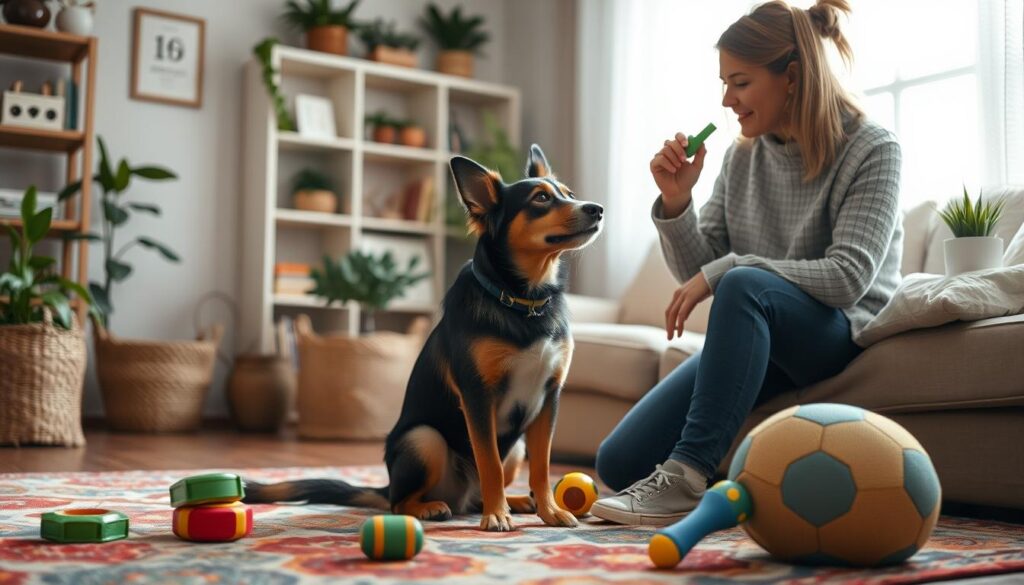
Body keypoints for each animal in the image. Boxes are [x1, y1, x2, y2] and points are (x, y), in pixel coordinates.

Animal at [244, 145, 602, 532]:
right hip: (424, 439)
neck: (524, 300)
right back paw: (437, 507)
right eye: (541, 199)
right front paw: (496, 516)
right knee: (401, 502)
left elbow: (542, 466)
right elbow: (489, 462)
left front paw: (549, 511)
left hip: (515, 446)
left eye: (569, 194)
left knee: (475, 495)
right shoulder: (478, 396)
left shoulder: (550, 396)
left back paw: (517, 502)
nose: (596, 209)